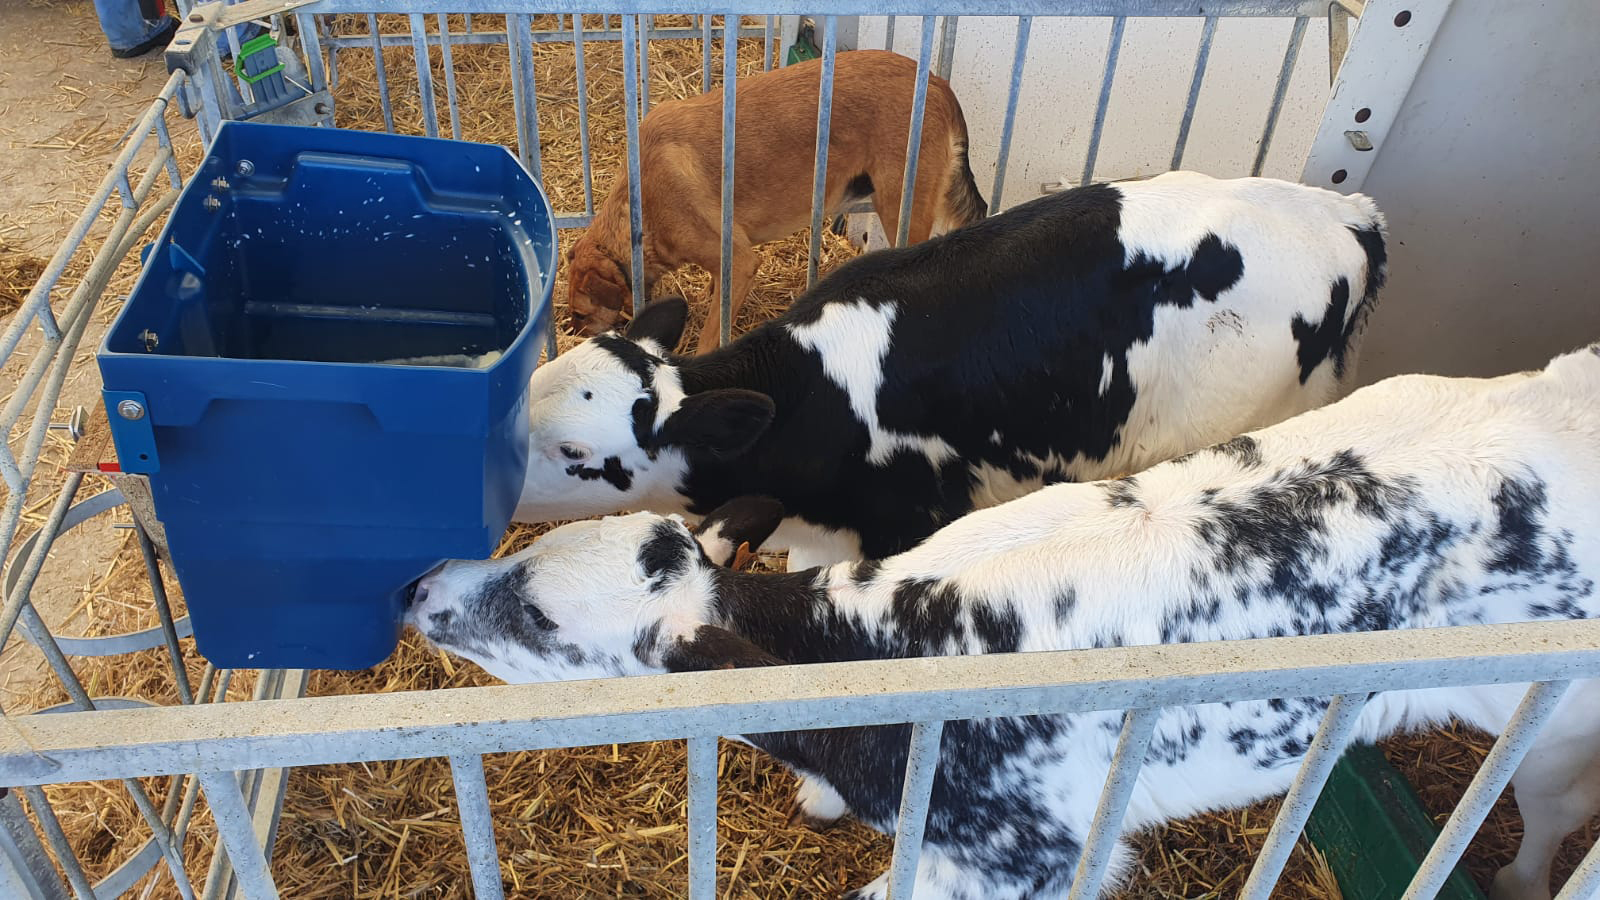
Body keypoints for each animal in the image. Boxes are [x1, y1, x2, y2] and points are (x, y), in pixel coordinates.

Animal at [412, 343, 1600, 900]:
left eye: (541, 614)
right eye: (523, 554)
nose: (417, 590)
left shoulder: (1032, 853)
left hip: (1556, 723)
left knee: (1552, 813)